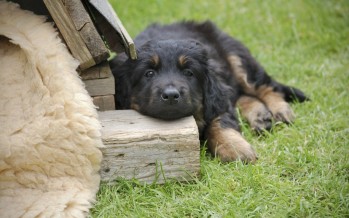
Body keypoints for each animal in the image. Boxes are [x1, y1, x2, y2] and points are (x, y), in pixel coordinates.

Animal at [109, 20, 308, 164]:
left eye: (189, 73)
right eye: (149, 73)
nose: (171, 95)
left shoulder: (217, 101)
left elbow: (219, 123)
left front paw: (235, 149)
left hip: (237, 57)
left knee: (265, 87)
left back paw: (280, 110)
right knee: (241, 95)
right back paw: (260, 116)